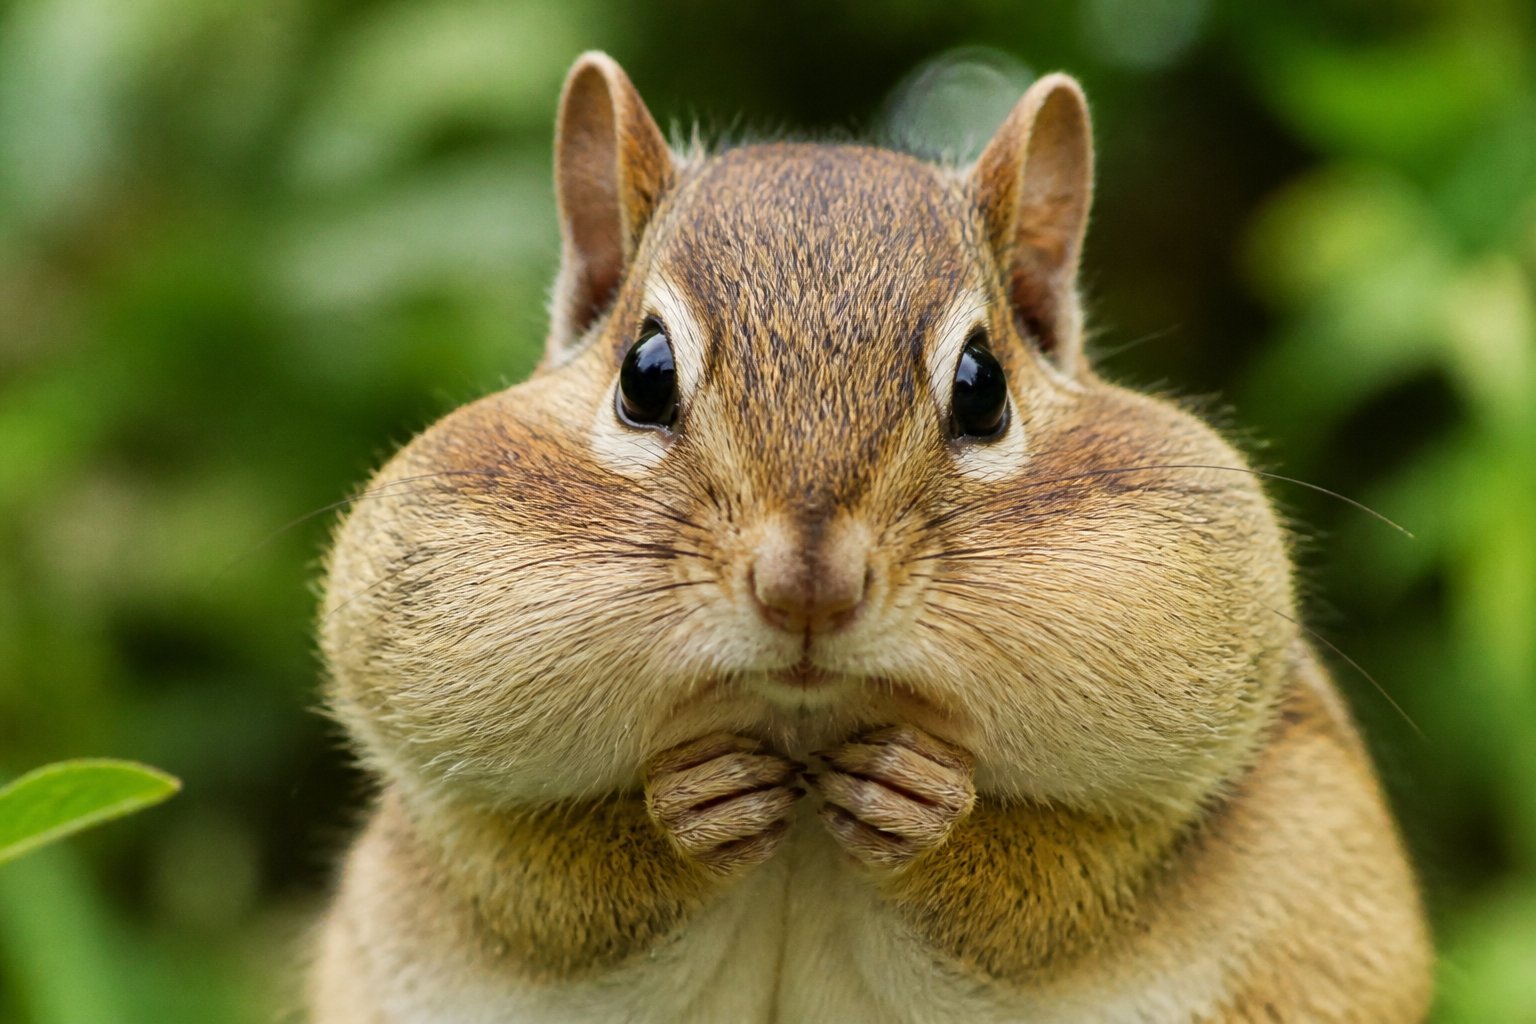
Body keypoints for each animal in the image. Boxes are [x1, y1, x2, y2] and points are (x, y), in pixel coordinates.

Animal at [308, 52, 1432, 1023]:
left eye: (983, 387)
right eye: (645, 375)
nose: (809, 587)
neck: (808, 726)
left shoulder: (1181, 790)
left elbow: (1061, 879)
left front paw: (925, 803)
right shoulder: (451, 810)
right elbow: (539, 879)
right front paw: (688, 807)